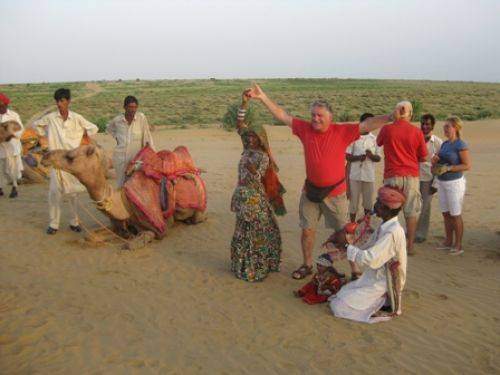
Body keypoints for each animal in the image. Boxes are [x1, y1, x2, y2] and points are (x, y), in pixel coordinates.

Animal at [41, 143, 207, 247]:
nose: (45, 156)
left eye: (70, 157)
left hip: (199, 207)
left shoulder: (157, 229)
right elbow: (89, 236)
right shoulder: (116, 224)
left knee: (197, 218)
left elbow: (131, 244)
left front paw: (129, 238)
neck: (123, 203)